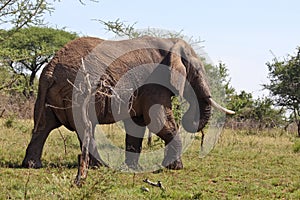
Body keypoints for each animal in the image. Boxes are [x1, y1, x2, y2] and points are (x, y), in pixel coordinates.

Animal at [22, 35, 234, 170]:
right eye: (198, 71)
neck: (171, 43)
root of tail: (51, 68)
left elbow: (138, 125)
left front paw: (132, 167)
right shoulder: (153, 82)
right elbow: (159, 121)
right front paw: (176, 168)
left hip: (50, 94)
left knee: (43, 126)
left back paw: (32, 166)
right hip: (77, 90)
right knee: (83, 126)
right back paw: (99, 167)